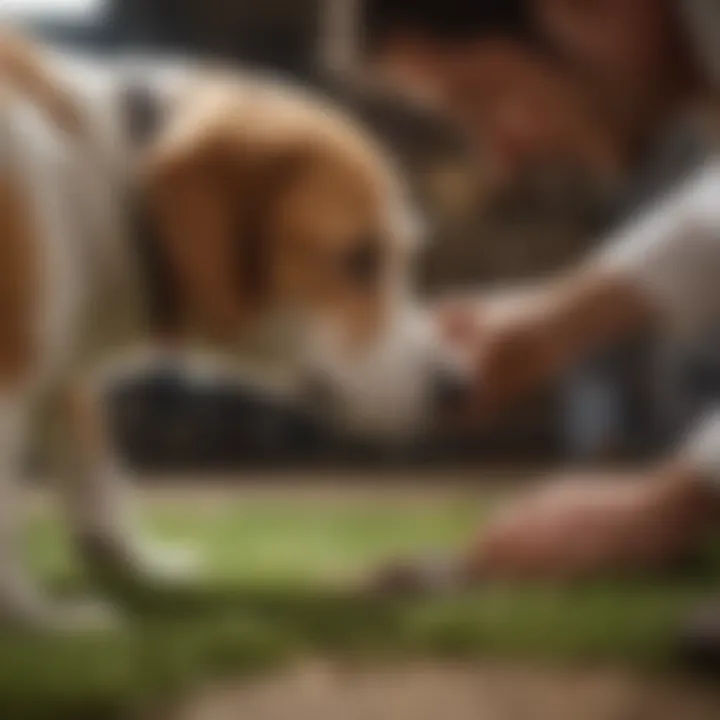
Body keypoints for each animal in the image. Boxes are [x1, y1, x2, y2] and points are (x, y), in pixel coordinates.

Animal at [0, 28, 466, 628]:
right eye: (359, 259)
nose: (459, 387)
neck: (102, 192)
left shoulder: (63, 368)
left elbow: (96, 473)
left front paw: (138, 568)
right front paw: (39, 618)